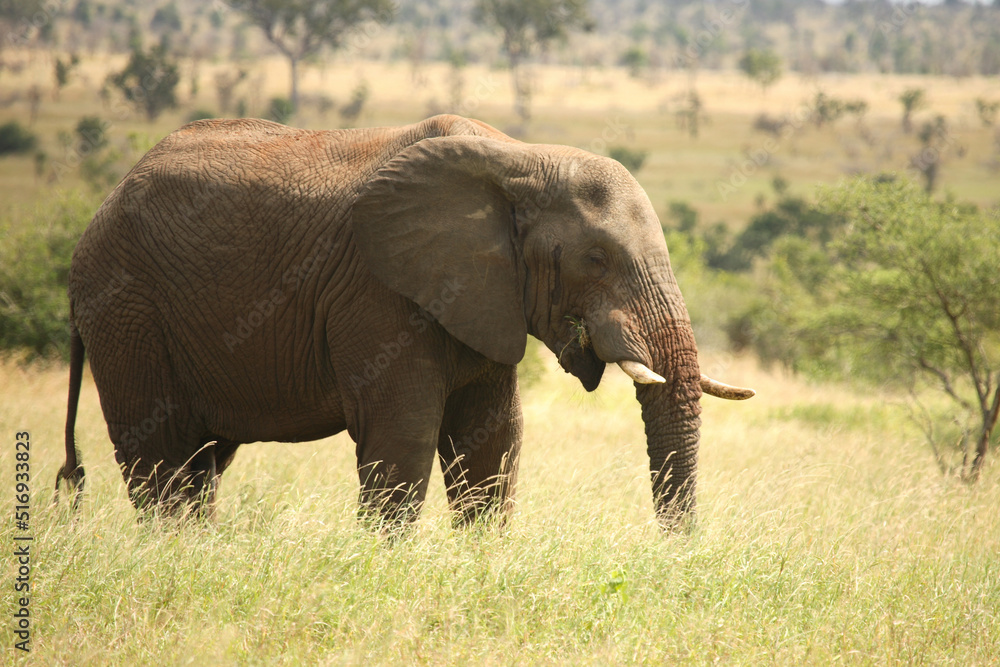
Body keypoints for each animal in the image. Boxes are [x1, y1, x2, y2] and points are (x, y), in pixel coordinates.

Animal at [56, 116, 752, 532]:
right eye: (597, 259)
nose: (676, 552)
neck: (520, 158)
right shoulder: (377, 292)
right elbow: (402, 439)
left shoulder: (483, 295)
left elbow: (492, 442)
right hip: (127, 312)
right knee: (161, 460)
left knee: (203, 463)